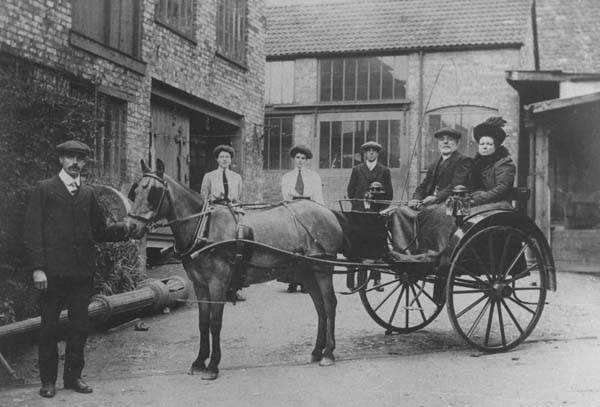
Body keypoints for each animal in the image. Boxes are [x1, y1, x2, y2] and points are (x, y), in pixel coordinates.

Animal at [125, 159, 346, 380]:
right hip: (308, 273)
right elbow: (203, 323)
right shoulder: (200, 285)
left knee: (330, 305)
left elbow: (215, 323)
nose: (131, 227)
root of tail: (327, 212)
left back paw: (328, 353)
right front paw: (199, 362)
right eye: (135, 190)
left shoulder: (218, 283)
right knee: (320, 308)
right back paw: (317, 352)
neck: (204, 227)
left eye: (154, 192)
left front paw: (212, 366)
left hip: (323, 270)